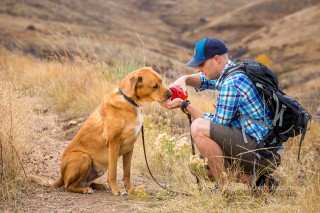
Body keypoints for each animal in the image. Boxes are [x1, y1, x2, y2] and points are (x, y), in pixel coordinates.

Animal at [53, 67, 172, 195]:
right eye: (155, 86)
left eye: (161, 81)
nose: (171, 94)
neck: (129, 101)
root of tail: (61, 176)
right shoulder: (114, 143)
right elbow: (113, 172)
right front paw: (116, 190)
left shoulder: (130, 147)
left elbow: (127, 172)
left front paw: (130, 189)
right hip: (84, 157)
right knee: (69, 185)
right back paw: (85, 189)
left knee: (84, 182)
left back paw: (98, 185)